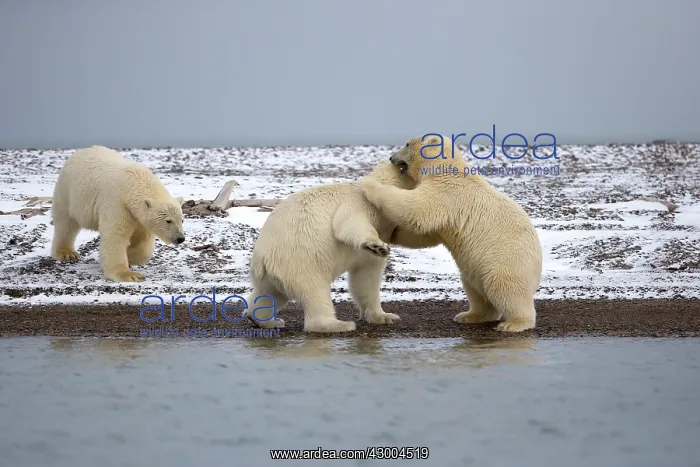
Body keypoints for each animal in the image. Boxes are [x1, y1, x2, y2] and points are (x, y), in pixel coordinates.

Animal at [50, 145, 186, 282]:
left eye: (181, 220)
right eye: (168, 220)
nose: (180, 238)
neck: (131, 183)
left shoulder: (137, 216)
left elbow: (144, 241)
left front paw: (129, 255)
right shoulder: (117, 203)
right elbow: (116, 234)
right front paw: (130, 275)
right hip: (67, 194)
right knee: (66, 224)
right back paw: (67, 253)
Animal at [242, 159, 440, 333]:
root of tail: (262, 259)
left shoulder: (380, 233)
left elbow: (367, 277)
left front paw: (385, 316)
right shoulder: (361, 203)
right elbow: (347, 223)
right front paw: (378, 246)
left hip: (274, 273)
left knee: (269, 294)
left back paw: (264, 319)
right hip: (300, 260)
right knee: (315, 291)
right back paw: (338, 325)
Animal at [360, 134, 543, 332]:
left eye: (407, 144)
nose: (391, 158)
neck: (444, 169)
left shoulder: (447, 193)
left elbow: (415, 210)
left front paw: (368, 185)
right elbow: (425, 233)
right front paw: (393, 233)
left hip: (507, 261)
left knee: (507, 290)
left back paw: (513, 323)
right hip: (475, 270)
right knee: (477, 293)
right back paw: (469, 315)